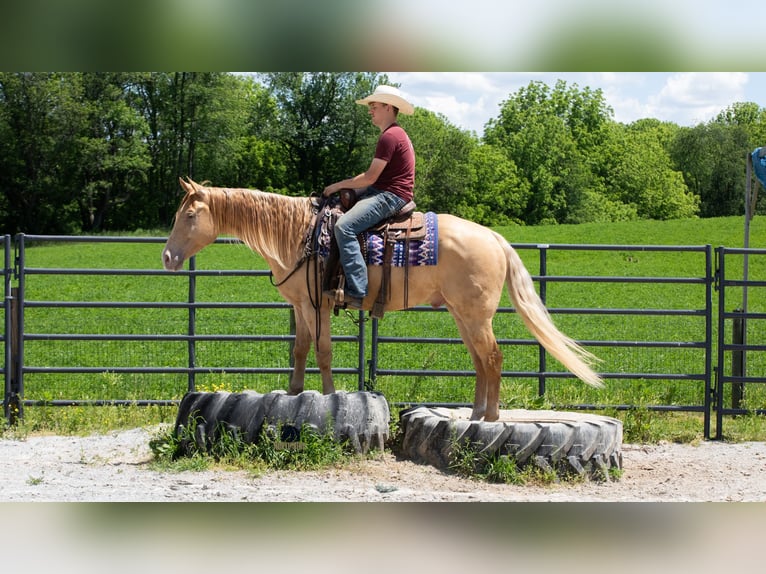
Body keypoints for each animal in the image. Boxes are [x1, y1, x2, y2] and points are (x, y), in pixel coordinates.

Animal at [162, 177, 603, 421]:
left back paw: (491, 417)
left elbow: (322, 351)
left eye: (189, 216)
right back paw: (476, 413)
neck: (301, 234)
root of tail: (494, 238)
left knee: (493, 358)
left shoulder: (318, 305)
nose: (166, 258)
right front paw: (292, 394)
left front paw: (326, 398)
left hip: (476, 317)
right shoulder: (301, 306)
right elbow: (300, 349)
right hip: (464, 316)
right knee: (480, 361)